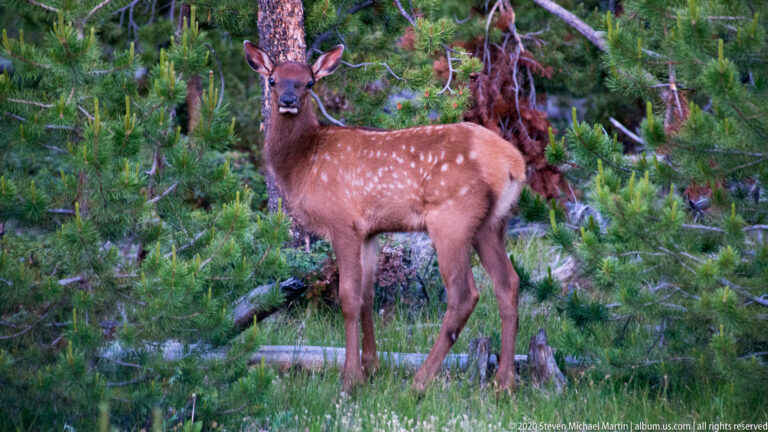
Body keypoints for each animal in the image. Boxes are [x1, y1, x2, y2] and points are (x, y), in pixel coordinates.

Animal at [243, 41, 526, 393]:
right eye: (273, 80)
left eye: (309, 82)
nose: (287, 101)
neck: (304, 163)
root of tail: (514, 163)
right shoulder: (368, 231)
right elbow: (367, 295)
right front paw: (371, 368)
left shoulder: (343, 222)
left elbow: (349, 297)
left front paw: (350, 379)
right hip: (492, 224)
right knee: (508, 283)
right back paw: (504, 383)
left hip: (452, 218)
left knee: (464, 295)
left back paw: (420, 381)